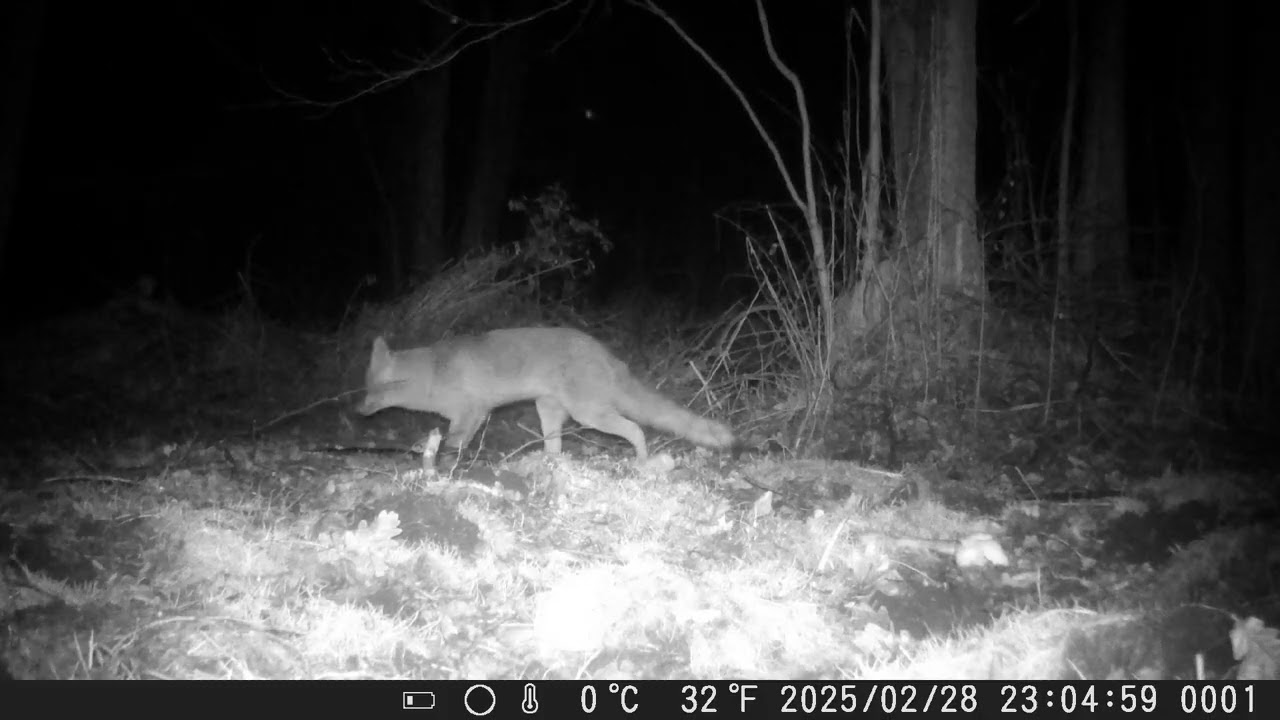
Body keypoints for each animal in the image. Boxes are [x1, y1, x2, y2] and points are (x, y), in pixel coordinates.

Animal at [356, 327, 736, 462]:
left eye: (371, 390)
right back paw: (547, 465)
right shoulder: (467, 415)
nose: (358, 410)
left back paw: (642, 463)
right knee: (556, 448)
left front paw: (446, 464)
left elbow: (455, 444)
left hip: (589, 414)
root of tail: (607, 354)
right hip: (549, 412)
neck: (435, 372)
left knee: (636, 430)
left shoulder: (473, 411)